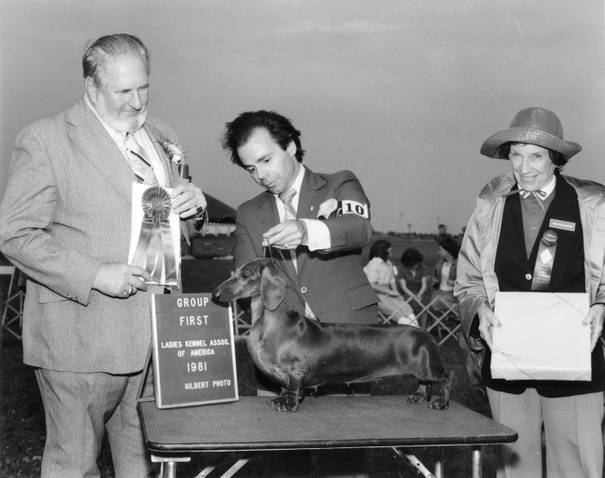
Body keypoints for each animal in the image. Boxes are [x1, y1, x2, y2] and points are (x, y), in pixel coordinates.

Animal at [213, 258, 452, 412]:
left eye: (245, 275)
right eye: (234, 272)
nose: (214, 294)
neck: (270, 323)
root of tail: (426, 334)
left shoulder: (296, 371)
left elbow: (292, 389)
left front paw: (288, 404)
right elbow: (283, 388)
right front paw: (279, 399)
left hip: (429, 368)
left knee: (445, 379)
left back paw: (441, 403)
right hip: (423, 370)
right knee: (424, 384)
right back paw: (418, 396)